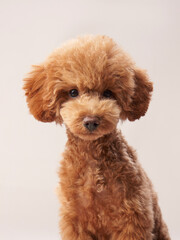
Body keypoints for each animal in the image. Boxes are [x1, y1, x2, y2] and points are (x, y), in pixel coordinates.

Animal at [23, 34, 170, 239]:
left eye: (108, 93)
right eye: (73, 92)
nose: (91, 120)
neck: (92, 156)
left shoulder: (133, 215)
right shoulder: (75, 218)